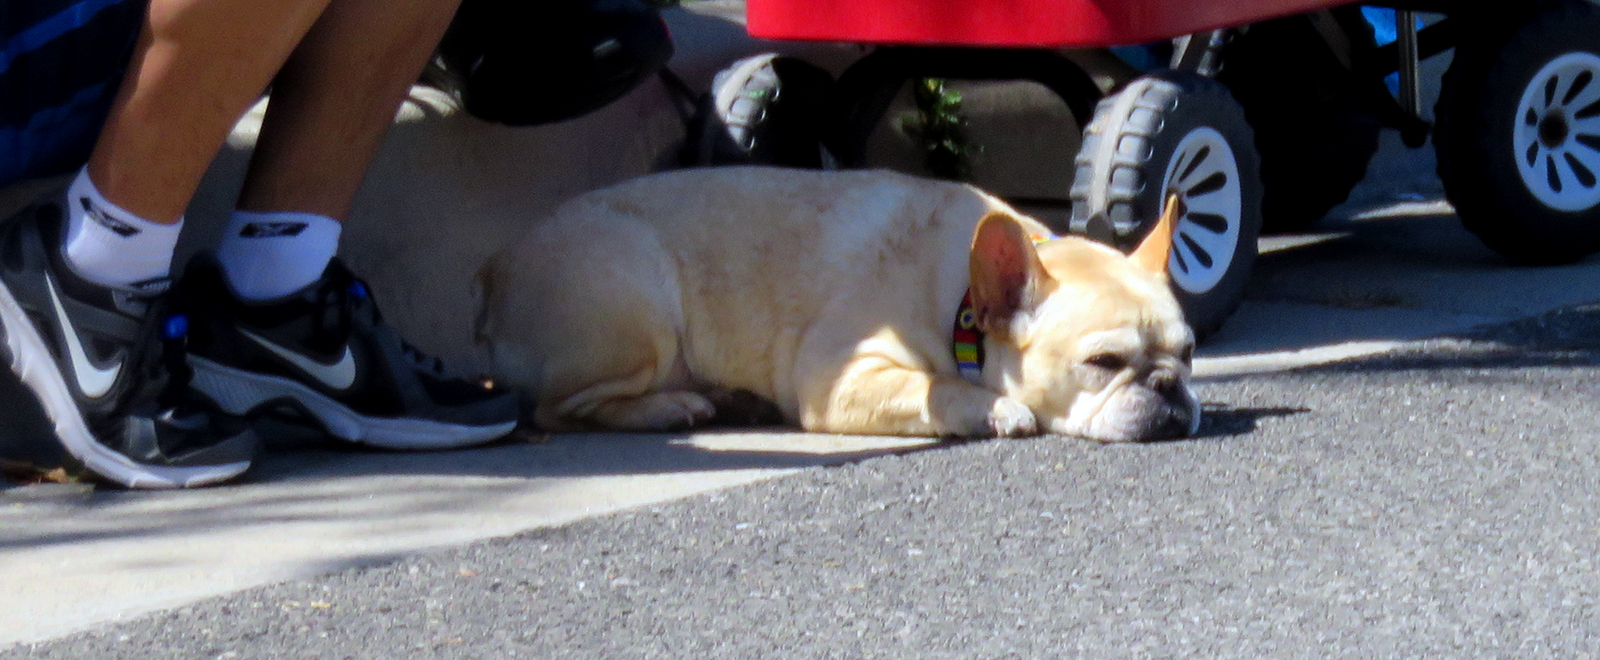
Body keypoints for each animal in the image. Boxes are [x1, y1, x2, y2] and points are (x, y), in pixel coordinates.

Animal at [476, 167, 1199, 441]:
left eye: (1189, 354)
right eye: (1104, 363)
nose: (1168, 387)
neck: (958, 300)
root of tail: (494, 275)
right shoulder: (840, 380)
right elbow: (935, 387)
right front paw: (994, 408)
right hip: (639, 312)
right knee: (558, 410)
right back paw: (668, 408)